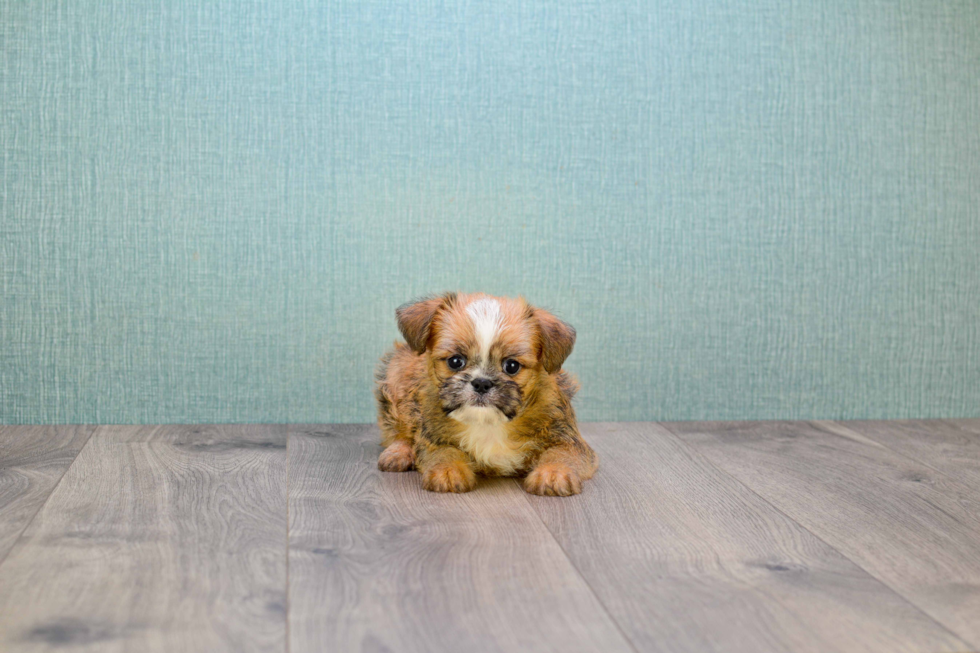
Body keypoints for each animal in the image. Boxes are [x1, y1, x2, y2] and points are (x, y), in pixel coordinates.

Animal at [372, 290, 592, 494]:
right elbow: (444, 451)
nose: (481, 383)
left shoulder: (567, 438)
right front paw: (448, 470)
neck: (488, 423)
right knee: (400, 429)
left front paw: (553, 473)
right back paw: (399, 452)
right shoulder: (432, 437)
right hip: (396, 377)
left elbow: (560, 453)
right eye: (455, 361)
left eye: (512, 366)